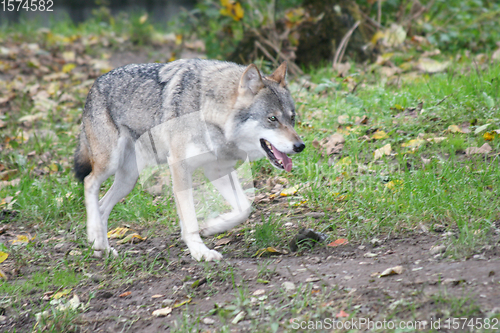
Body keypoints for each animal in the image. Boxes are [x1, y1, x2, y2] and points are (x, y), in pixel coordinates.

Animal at [75, 60, 304, 262]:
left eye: (292, 118)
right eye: (272, 119)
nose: (300, 146)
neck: (209, 112)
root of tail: (95, 84)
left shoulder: (218, 170)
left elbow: (244, 208)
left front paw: (212, 226)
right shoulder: (179, 166)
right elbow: (190, 218)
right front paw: (200, 252)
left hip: (129, 179)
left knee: (102, 205)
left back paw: (100, 246)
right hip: (110, 164)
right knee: (89, 182)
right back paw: (95, 238)